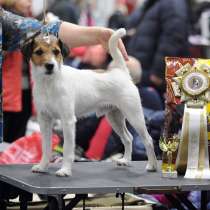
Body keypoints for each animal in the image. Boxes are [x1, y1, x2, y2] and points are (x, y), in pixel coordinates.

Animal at [24, 28, 158, 176]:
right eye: (39, 52)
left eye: (56, 51)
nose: (50, 66)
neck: (49, 83)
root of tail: (120, 72)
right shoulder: (45, 120)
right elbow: (46, 147)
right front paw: (42, 166)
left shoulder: (68, 121)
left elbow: (67, 148)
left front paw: (65, 170)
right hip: (114, 118)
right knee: (128, 138)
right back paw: (126, 160)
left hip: (134, 116)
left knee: (148, 140)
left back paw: (152, 165)